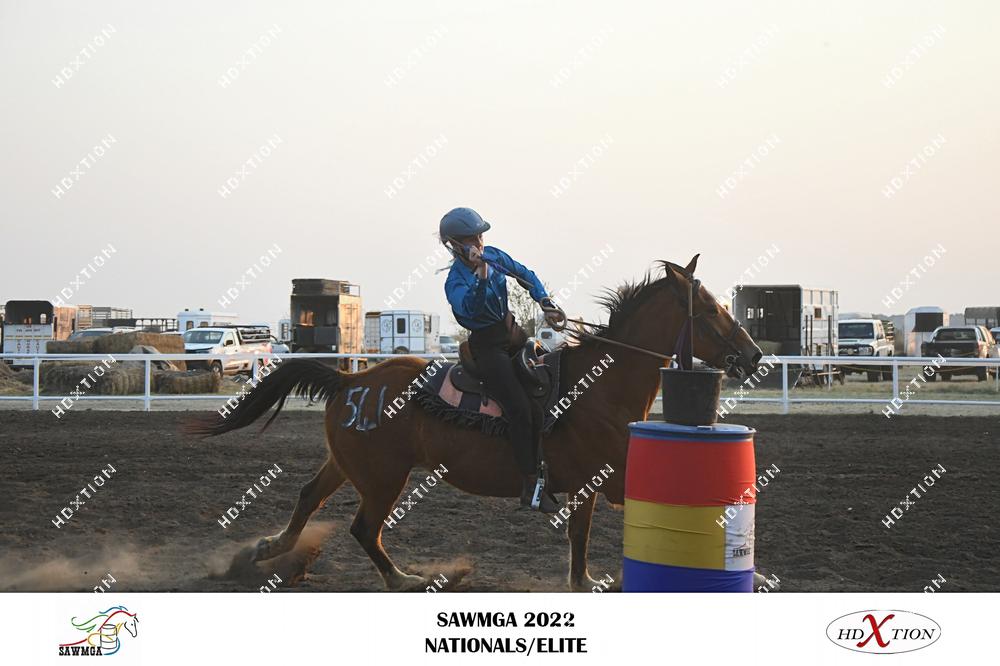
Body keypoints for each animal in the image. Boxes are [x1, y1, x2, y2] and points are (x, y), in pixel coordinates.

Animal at [186, 255, 763, 591]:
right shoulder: (612, 478)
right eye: (712, 310)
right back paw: (405, 579)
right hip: (384, 477)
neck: (598, 388)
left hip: (349, 465)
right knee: (363, 527)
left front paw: (584, 580)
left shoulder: (589, 485)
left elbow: (579, 538)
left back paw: (269, 550)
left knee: (310, 496)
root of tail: (351, 381)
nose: (754, 355)